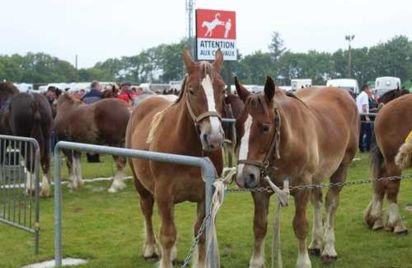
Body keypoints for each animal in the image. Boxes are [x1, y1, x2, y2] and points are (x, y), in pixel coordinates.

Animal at [125, 49, 225, 266]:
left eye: (222, 89)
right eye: (191, 90)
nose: (213, 137)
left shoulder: (205, 195)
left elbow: (200, 234)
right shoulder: (164, 193)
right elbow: (168, 236)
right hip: (140, 184)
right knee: (146, 210)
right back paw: (151, 248)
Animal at [233, 77, 358, 268]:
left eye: (265, 127)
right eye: (237, 125)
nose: (244, 176)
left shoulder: (302, 187)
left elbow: (300, 225)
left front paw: (303, 262)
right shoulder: (260, 190)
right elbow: (259, 226)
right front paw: (256, 261)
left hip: (341, 168)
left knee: (331, 204)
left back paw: (329, 249)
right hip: (316, 176)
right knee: (317, 201)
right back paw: (315, 244)